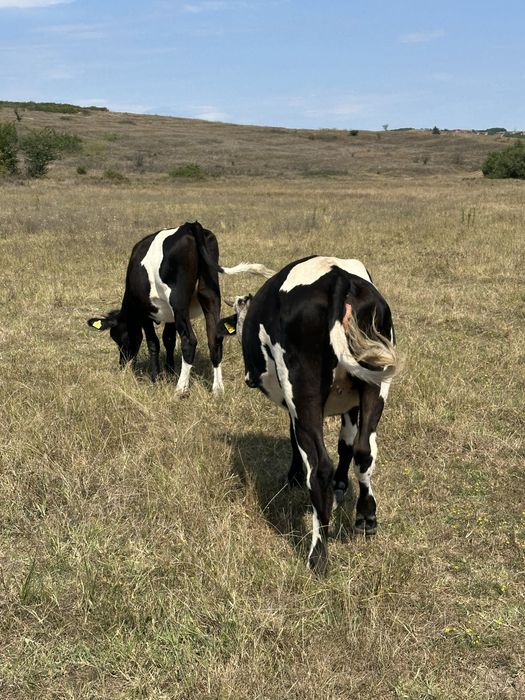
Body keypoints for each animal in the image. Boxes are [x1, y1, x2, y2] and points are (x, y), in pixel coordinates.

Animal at [87, 221, 274, 395]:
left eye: (118, 337)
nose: (122, 365)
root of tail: (190, 225)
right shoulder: (170, 315)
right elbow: (169, 339)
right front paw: (170, 371)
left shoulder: (145, 312)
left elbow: (153, 343)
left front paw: (157, 377)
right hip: (210, 294)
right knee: (214, 338)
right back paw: (217, 389)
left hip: (178, 301)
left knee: (189, 340)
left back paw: (181, 389)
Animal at [218, 255, 400, 574]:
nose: (249, 377)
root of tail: (338, 279)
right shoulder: (351, 402)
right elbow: (347, 445)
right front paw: (341, 487)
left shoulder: (292, 405)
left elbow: (295, 440)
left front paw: (292, 477)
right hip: (376, 383)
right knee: (365, 451)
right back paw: (366, 517)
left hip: (302, 391)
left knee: (319, 467)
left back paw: (318, 555)